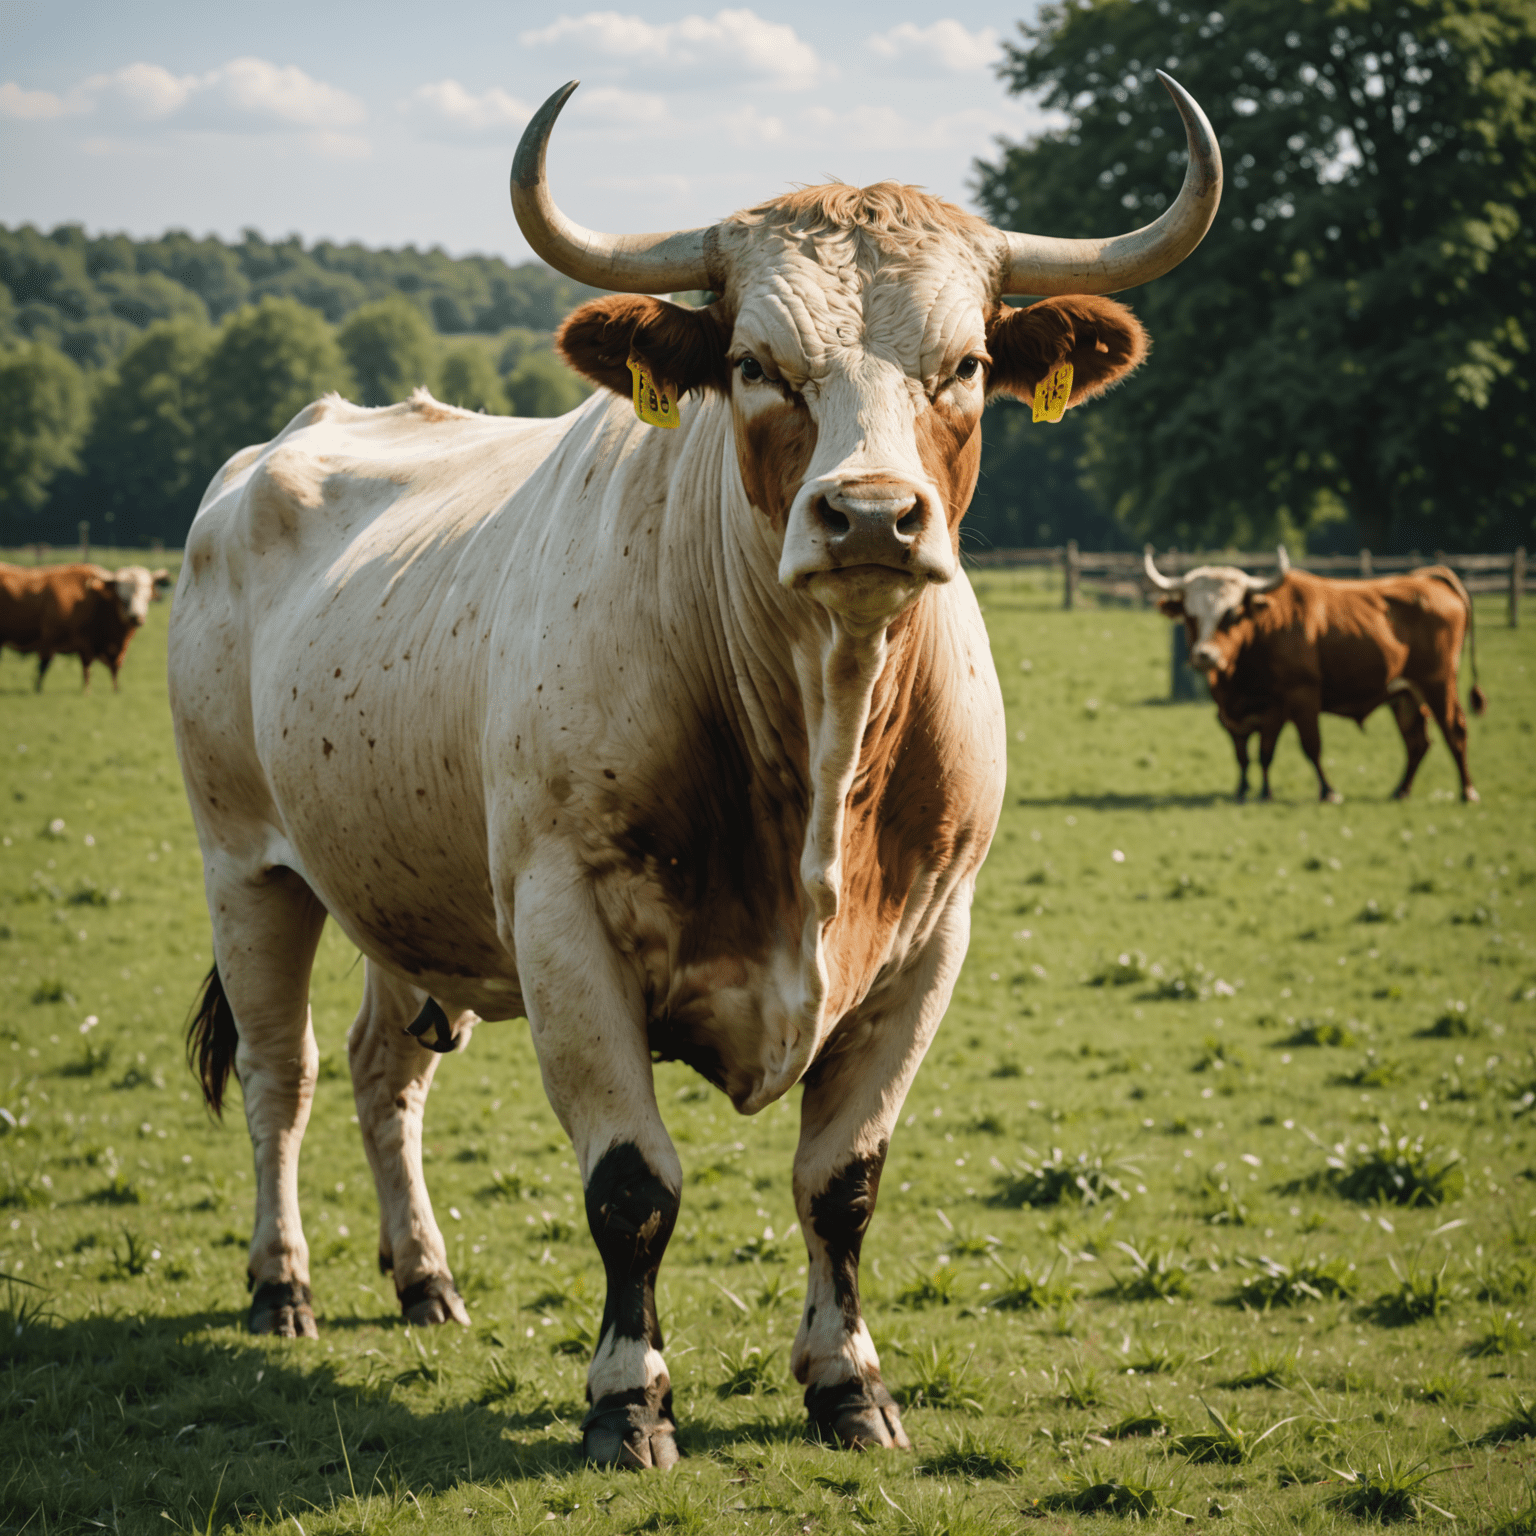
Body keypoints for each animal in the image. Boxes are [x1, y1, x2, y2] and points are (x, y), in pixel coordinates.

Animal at [0, 559, 157, 691]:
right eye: (123, 598)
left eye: (146, 597)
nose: (136, 617)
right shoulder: (60, 640)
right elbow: (80, 669)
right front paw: (86, 692)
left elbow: (114, 671)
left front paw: (115, 689)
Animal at [1148, 543, 1480, 804]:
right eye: (1190, 616)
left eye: (1232, 614)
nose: (1205, 656)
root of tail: (1428, 579)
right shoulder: (1237, 713)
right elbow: (1246, 754)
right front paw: (1245, 791)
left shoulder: (1297, 699)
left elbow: (1305, 746)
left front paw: (1326, 791)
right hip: (1404, 693)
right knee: (1417, 741)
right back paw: (1401, 791)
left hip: (1438, 683)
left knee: (1455, 729)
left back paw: (1467, 791)